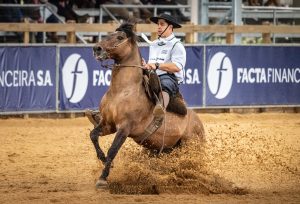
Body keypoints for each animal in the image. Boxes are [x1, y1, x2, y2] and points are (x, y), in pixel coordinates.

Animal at [90, 22, 205, 188]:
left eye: (120, 37)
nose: (97, 49)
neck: (121, 92)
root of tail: (199, 125)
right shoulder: (108, 124)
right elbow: (93, 135)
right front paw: (104, 160)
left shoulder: (124, 128)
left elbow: (113, 150)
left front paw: (103, 178)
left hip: (190, 147)